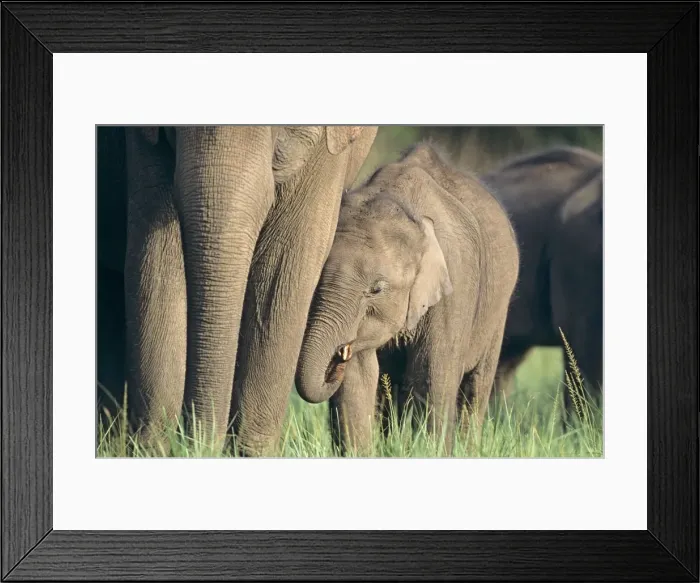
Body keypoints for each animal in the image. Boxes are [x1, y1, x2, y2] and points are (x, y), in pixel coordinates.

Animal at [294, 142, 520, 455]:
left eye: (376, 289)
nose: (337, 356)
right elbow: (358, 379)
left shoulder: (455, 288)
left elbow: (432, 376)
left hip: (498, 308)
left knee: (476, 385)